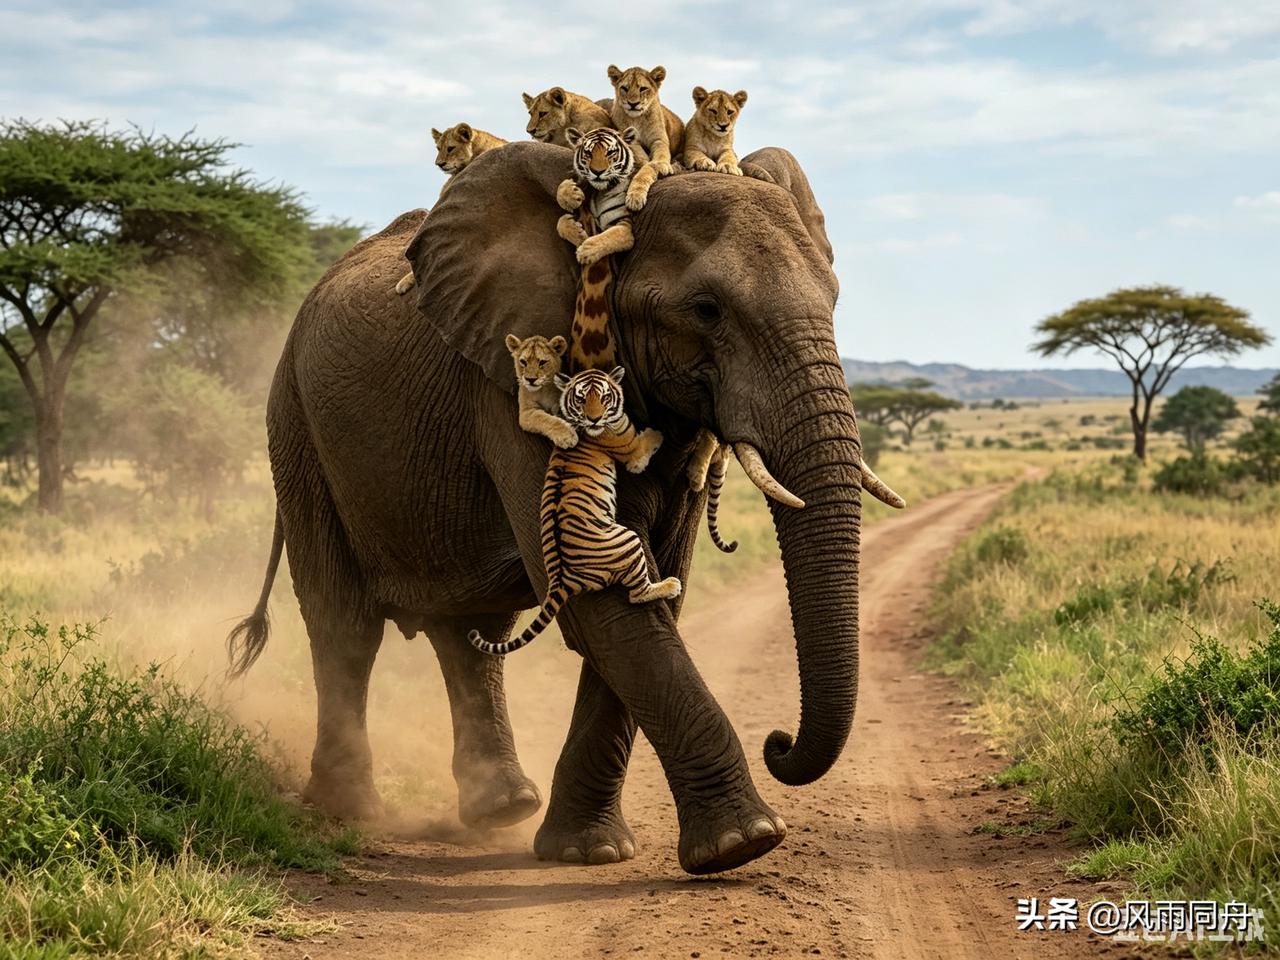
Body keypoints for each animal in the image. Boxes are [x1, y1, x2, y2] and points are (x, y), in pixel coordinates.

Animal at [468, 367, 678, 656]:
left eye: (603, 397)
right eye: (581, 398)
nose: (594, 419)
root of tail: (562, 579)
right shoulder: (632, 452)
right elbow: (645, 443)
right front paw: (657, 432)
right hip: (629, 540)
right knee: (638, 594)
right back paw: (670, 585)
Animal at [606, 64, 685, 211]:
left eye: (643, 88)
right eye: (624, 88)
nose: (633, 104)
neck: (638, 119)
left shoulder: (658, 139)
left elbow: (661, 154)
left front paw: (661, 165)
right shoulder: (631, 141)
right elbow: (643, 161)